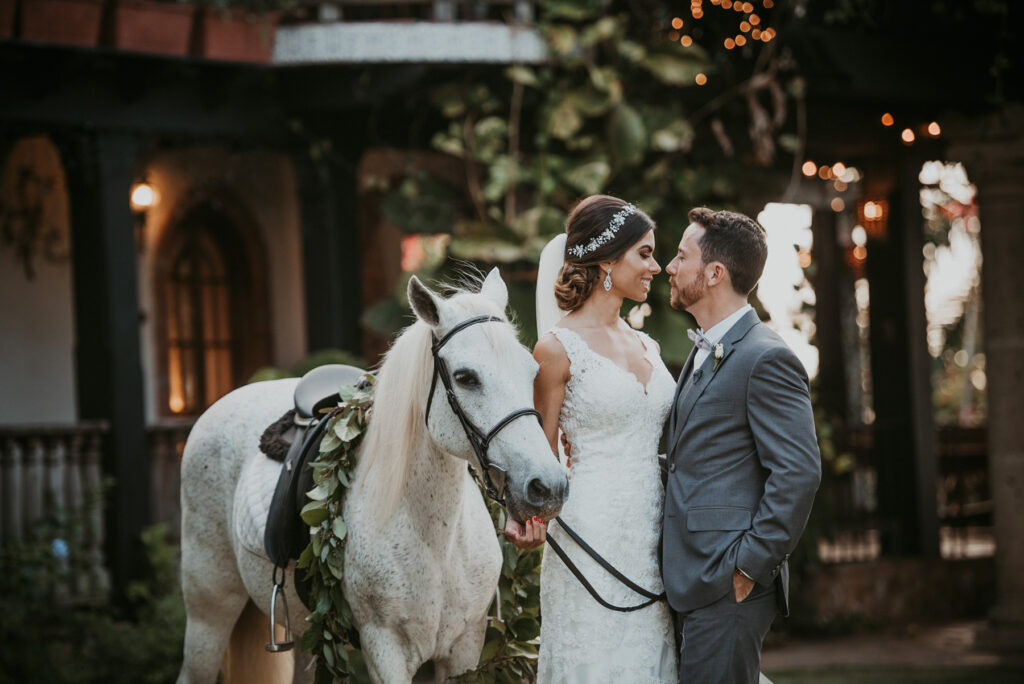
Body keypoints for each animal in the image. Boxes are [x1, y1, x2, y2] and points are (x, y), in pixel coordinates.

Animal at [180, 270, 573, 684]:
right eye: (465, 377)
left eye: (532, 371)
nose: (547, 487)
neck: (435, 542)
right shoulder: (386, 651)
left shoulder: (463, 649)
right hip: (209, 612)